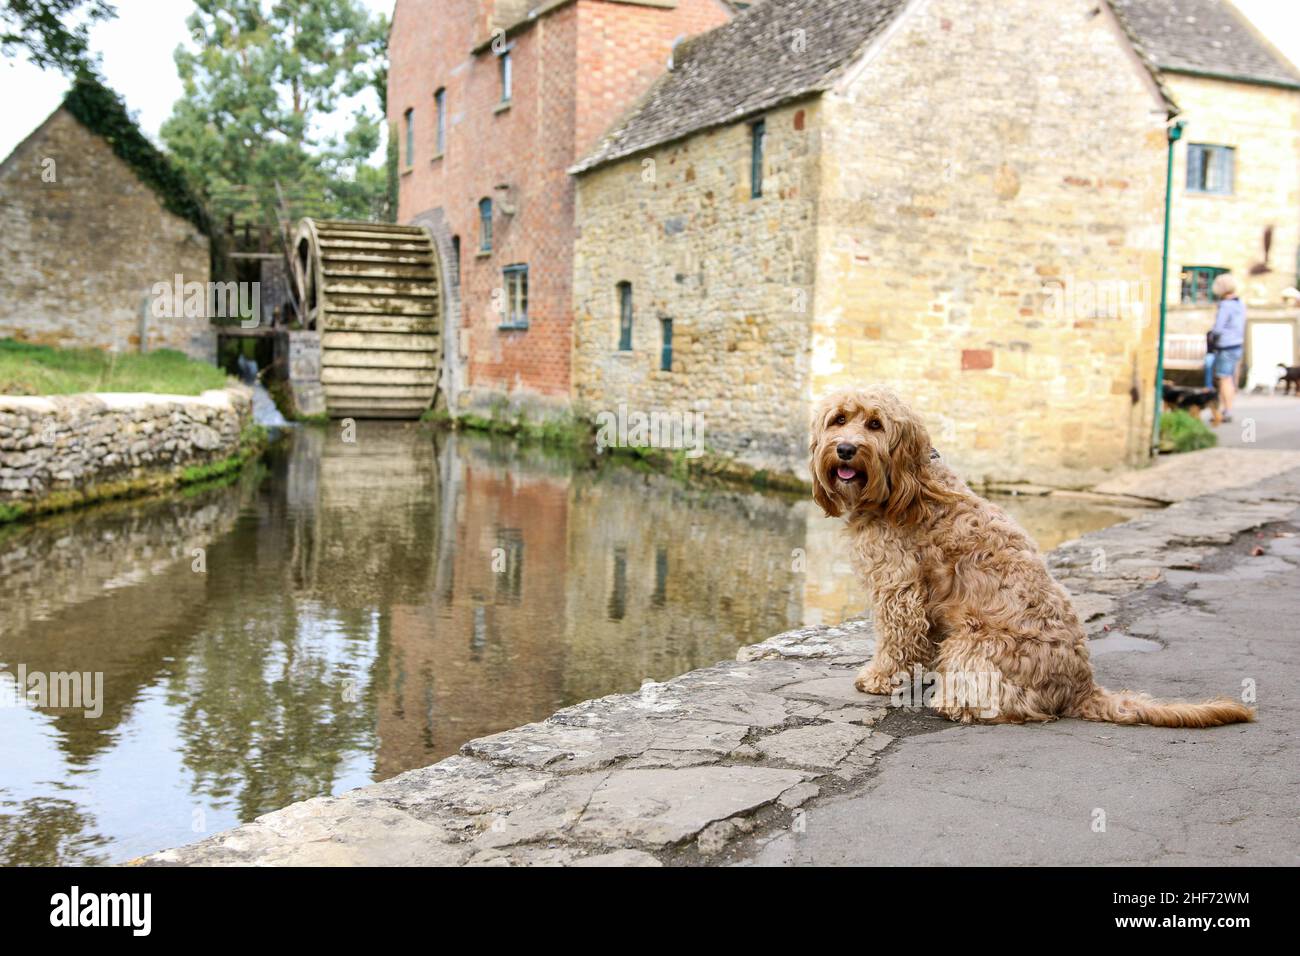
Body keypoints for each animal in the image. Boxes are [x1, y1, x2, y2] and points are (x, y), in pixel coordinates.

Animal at [806, 385, 1253, 728]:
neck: (908, 484)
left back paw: (956, 704)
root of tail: (1081, 686)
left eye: (875, 424)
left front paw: (879, 678)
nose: (845, 449)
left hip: (972, 642)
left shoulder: (897, 588)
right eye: (839, 420)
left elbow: (895, 639)